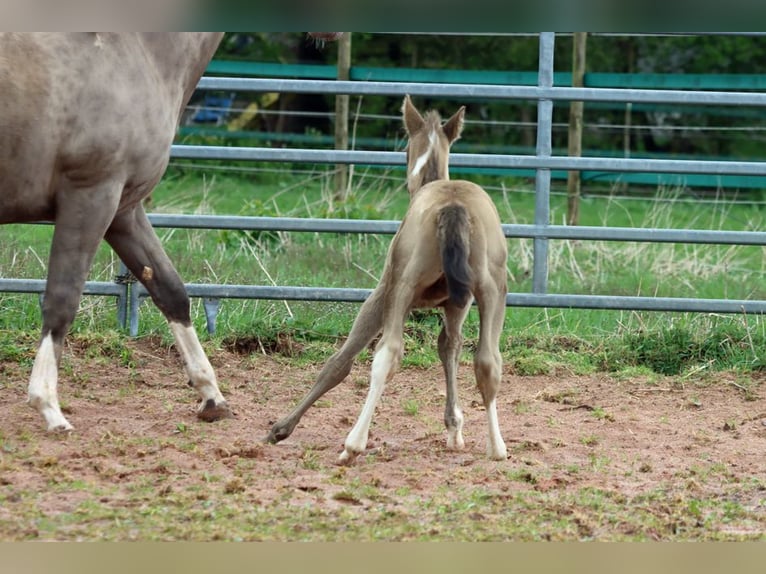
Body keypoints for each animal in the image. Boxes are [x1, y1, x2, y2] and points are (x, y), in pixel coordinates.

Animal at [0, 32, 340, 432]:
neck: (136, 51)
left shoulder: (124, 211)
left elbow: (170, 291)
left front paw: (212, 397)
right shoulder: (91, 196)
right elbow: (61, 301)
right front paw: (48, 407)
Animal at [266, 95, 509, 464]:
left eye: (404, 147)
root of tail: (453, 206)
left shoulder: (382, 292)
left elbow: (341, 361)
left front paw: (282, 427)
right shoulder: (457, 304)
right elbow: (449, 347)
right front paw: (454, 428)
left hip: (402, 288)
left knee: (387, 354)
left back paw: (353, 444)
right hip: (493, 292)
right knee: (488, 362)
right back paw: (497, 448)